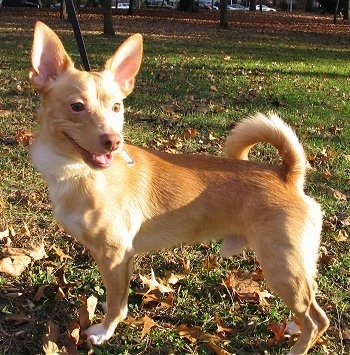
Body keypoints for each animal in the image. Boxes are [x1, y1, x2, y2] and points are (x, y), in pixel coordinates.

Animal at [29, 21, 328, 354]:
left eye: (117, 107)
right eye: (77, 107)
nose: (113, 140)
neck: (76, 172)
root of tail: (287, 175)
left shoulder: (115, 255)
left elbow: (116, 302)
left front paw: (105, 331)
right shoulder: (117, 258)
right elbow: (119, 299)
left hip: (282, 269)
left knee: (316, 319)